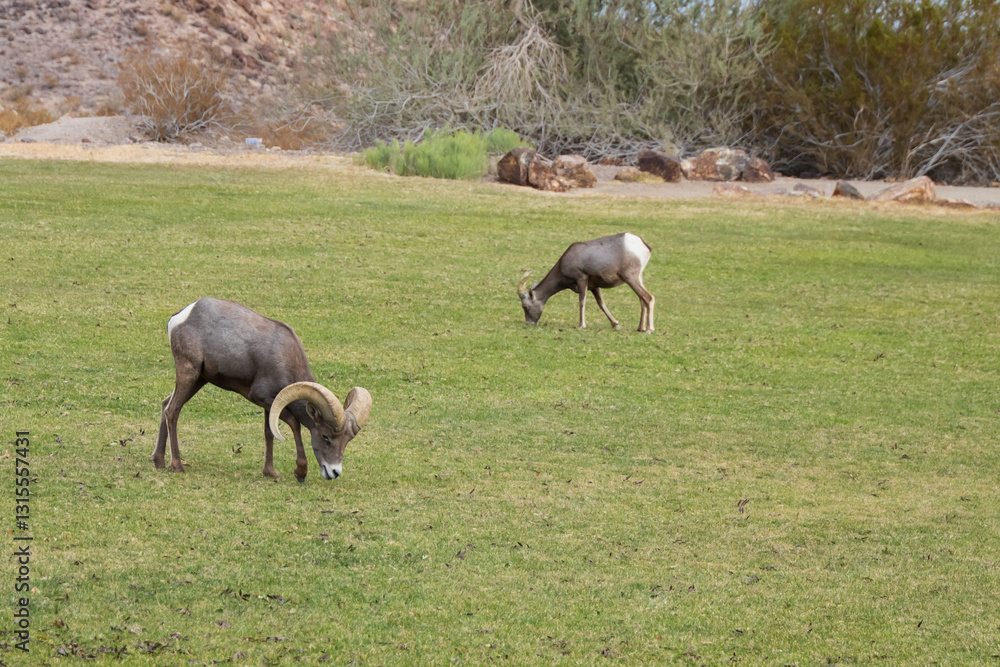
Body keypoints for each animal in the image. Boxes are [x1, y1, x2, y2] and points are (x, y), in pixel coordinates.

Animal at [152, 298, 372, 481]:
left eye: (347, 440)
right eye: (326, 437)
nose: (334, 472)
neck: (285, 359)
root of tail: (180, 317)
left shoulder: (271, 404)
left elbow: (268, 432)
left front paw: (270, 472)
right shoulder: (261, 396)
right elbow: (293, 424)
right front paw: (300, 472)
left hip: (199, 379)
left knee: (165, 404)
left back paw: (158, 462)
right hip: (189, 373)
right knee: (172, 411)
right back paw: (177, 466)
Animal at [517, 232, 655, 332]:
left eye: (525, 306)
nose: (529, 323)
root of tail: (644, 245)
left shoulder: (581, 279)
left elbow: (582, 301)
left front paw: (581, 325)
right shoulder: (594, 287)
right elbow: (601, 304)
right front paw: (616, 324)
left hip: (631, 278)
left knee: (649, 297)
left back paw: (649, 329)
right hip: (638, 278)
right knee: (642, 299)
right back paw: (640, 328)